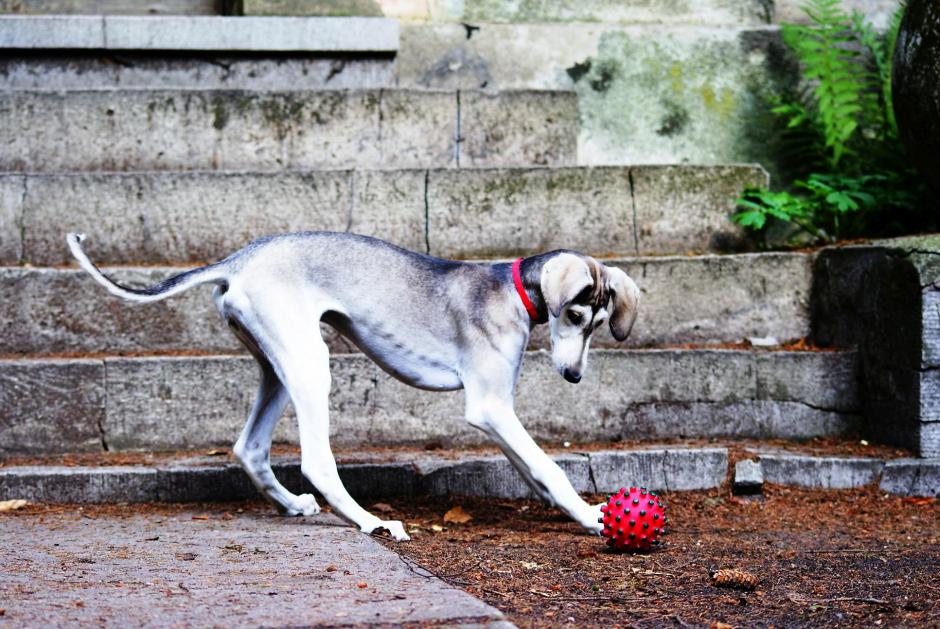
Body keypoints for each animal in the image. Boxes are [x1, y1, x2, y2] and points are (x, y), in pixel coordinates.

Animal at [66, 231, 640, 540]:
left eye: (597, 324)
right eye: (574, 314)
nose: (573, 376)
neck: (512, 289)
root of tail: (240, 258)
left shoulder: (498, 412)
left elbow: (532, 468)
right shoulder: (490, 407)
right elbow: (549, 466)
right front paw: (592, 517)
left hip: (280, 367)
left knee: (249, 448)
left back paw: (294, 506)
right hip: (311, 364)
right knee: (317, 462)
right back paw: (370, 521)